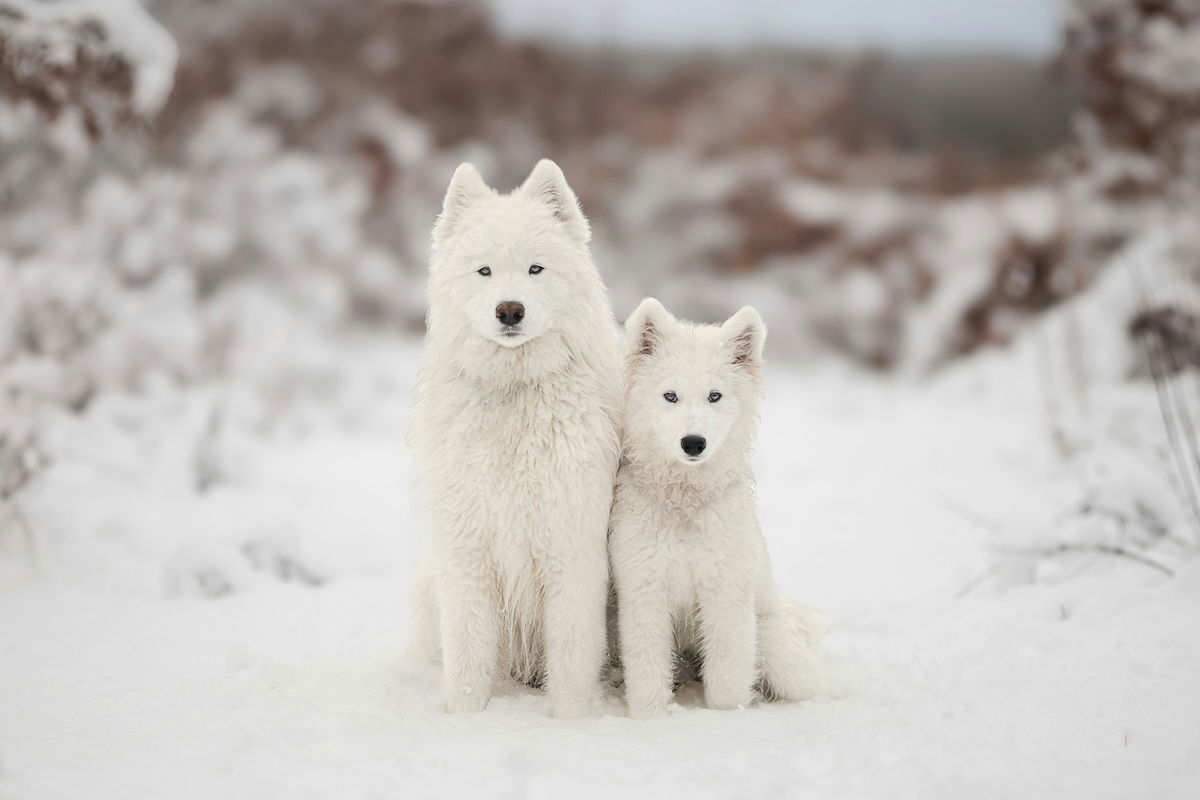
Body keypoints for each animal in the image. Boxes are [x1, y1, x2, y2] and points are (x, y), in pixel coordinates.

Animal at [410, 159, 619, 714]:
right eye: (484, 271)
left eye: (535, 270)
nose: (509, 310)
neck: (514, 392)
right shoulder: (467, 553)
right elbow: (466, 659)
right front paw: (464, 719)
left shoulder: (570, 551)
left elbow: (570, 659)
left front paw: (570, 720)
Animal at [609, 298, 825, 719]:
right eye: (670, 396)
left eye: (715, 396)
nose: (693, 443)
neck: (685, 503)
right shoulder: (644, 589)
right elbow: (647, 673)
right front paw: (649, 719)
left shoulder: (725, 593)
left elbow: (726, 679)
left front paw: (726, 719)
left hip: (772, 646)